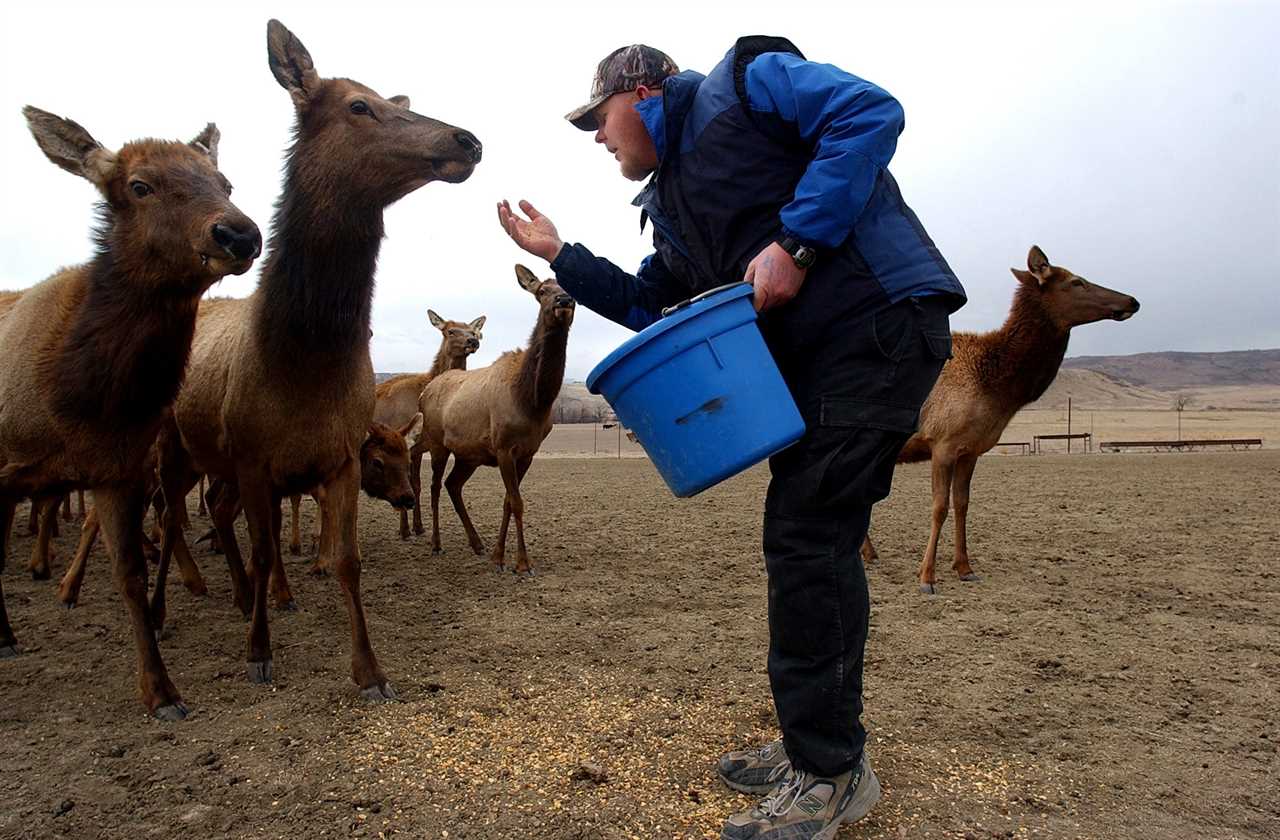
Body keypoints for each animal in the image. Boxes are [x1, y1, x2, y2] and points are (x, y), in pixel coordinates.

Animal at [0, 108, 259, 722]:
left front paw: (161, 690)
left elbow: (130, 572)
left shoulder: (117, 469)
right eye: (139, 187)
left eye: (226, 183)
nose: (239, 234)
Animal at [376, 308, 486, 537]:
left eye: (472, 330)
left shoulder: (421, 447)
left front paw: (418, 527)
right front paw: (404, 530)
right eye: (450, 330)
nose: (473, 340)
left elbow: (416, 484)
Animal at [419, 266, 576, 573]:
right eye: (542, 291)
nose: (564, 300)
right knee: (434, 486)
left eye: (571, 287)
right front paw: (522, 563)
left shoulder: (527, 452)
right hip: (436, 441)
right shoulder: (503, 447)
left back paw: (477, 543)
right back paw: (436, 543)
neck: (533, 401)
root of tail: (425, 391)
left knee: (453, 484)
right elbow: (516, 502)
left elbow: (508, 502)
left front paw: (498, 556)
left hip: (469, 454)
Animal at [865, 245, 1136, 594]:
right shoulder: (942, 442)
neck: (999, 389)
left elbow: (963, 504)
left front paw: (964, 568)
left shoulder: (971, 449)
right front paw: (927, 576)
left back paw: (869, 553)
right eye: (1077, 282)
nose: (1132, 301)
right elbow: (939, 507)